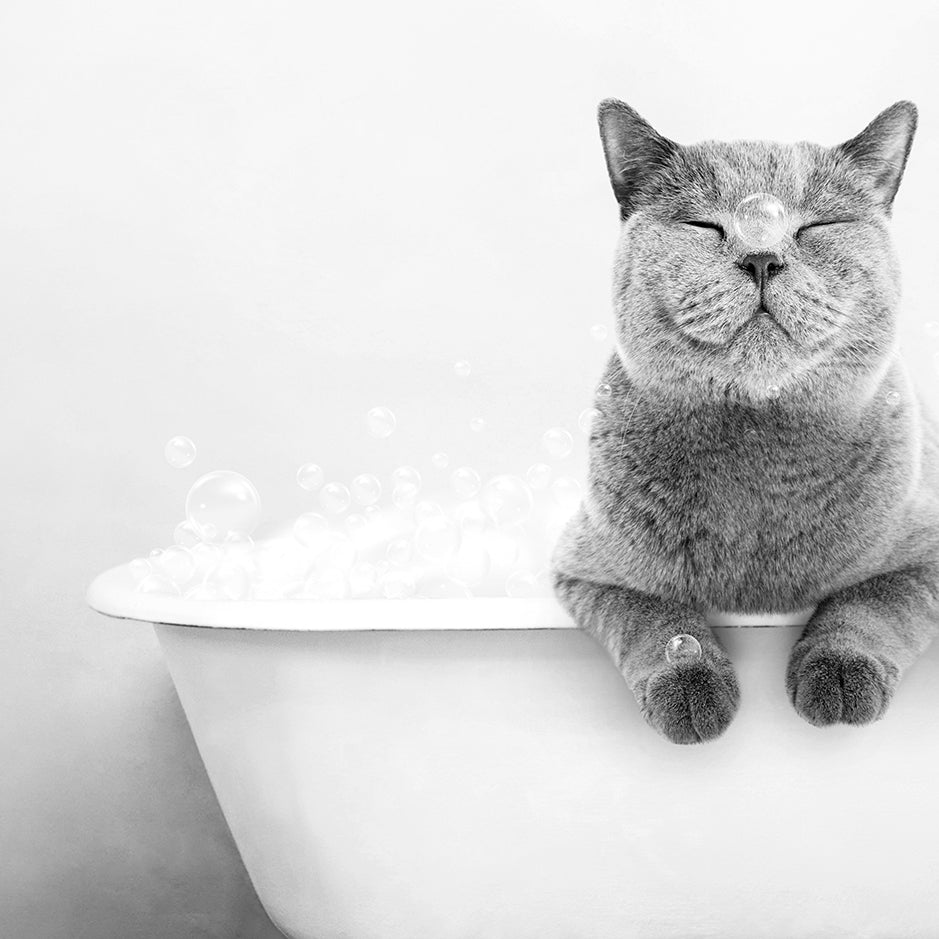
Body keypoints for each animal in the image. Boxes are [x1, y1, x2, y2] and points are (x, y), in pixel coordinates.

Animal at [552, 99, 939, 744]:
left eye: (815, 228)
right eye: (704, 227)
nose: (762, 258)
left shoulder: (926, 553)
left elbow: (870, 604)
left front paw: (839, 675)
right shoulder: (588, 569)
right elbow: (653, 615)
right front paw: (691, 688)